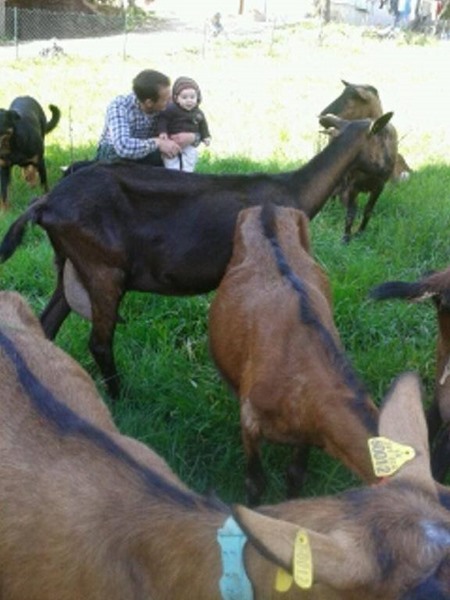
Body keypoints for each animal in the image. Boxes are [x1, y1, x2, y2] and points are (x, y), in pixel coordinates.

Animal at [0, 112, 394, 398]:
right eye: (385, 137)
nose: (390, 172)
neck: (294, 192)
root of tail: (45, 203)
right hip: (103, 268)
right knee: (98, 342)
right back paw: (120, 397)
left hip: (69, 265)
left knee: (47, 324)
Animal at [318, 80, 410, 244]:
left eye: (350, 99)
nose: (322, 116)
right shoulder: (353, 185)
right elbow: (351, 213)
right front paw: (345, 239)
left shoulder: (379, 186)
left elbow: (368, 210)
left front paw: (360, 233)